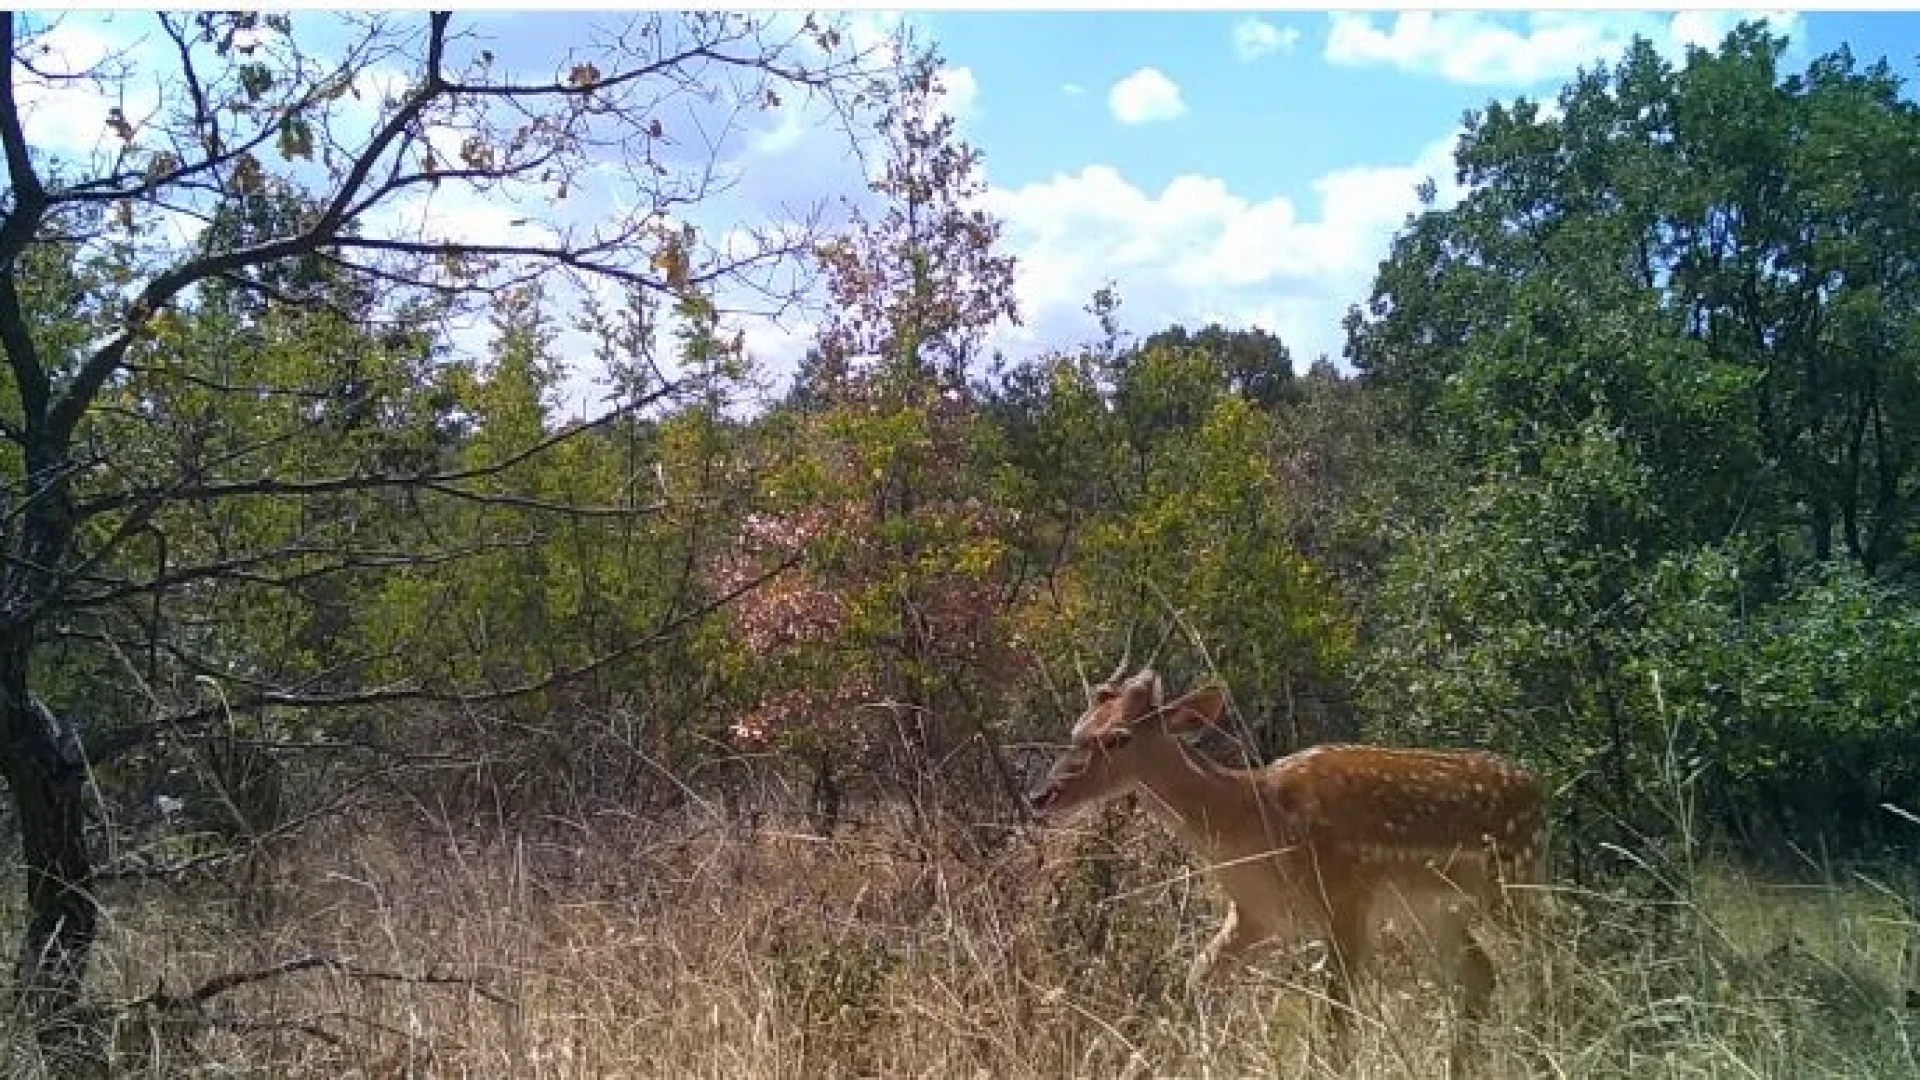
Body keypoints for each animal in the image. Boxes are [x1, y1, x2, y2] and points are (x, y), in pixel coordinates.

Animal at [1029, 661, 1551, 1060]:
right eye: (1077, 729)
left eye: (1118, 738)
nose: (1041, 796)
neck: (1251, 822)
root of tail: (1537, 790)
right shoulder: (1256, 916)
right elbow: (1195, 980)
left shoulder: (1345, 901)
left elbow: (1337, 1022)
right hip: (1432, 913)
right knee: (1481, 974)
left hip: (1514, 885)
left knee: (1549, 962)